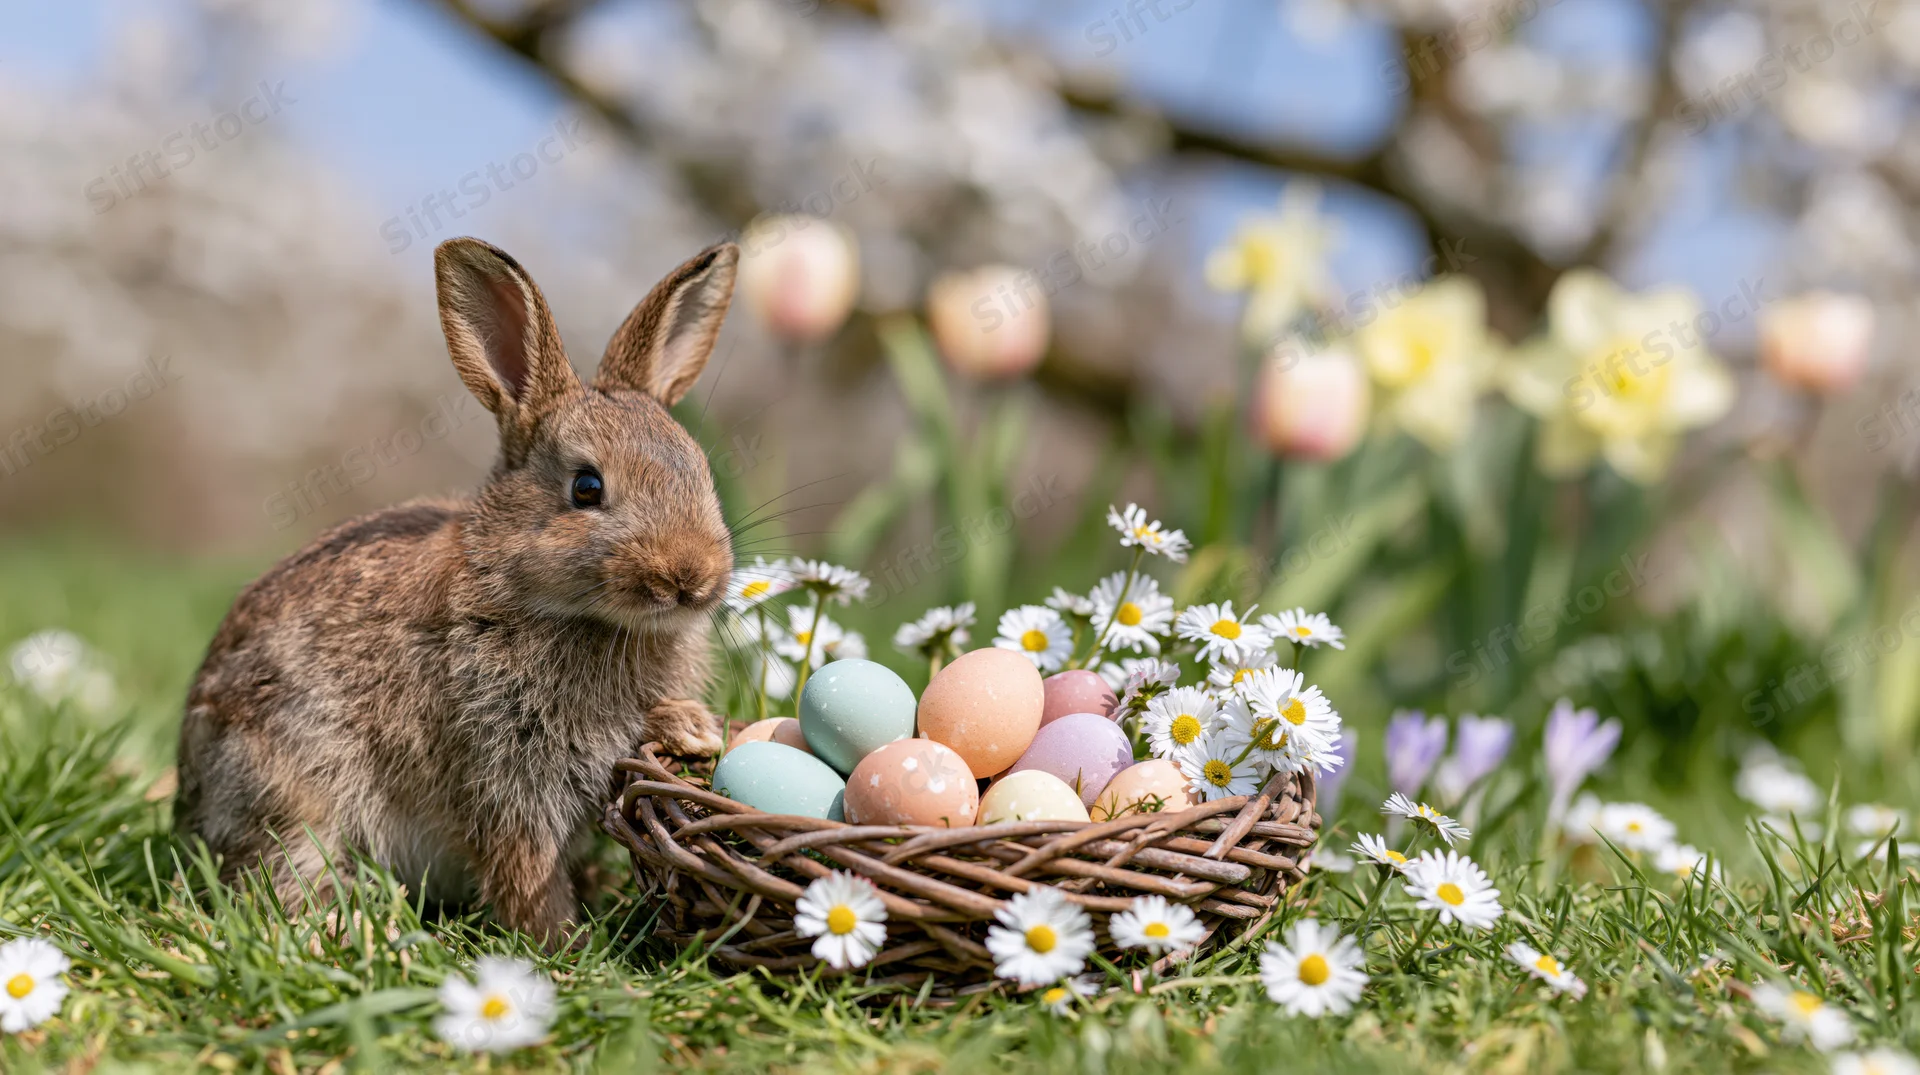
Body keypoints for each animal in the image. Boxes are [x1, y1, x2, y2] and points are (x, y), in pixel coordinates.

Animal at [174, 237, 741, 944]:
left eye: (701, 471)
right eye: (587, 487)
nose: (692, 578)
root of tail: (186, 804)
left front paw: (693, 728)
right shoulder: (502, 771)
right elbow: (523, 869)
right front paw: (566, 943)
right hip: (293, 796)